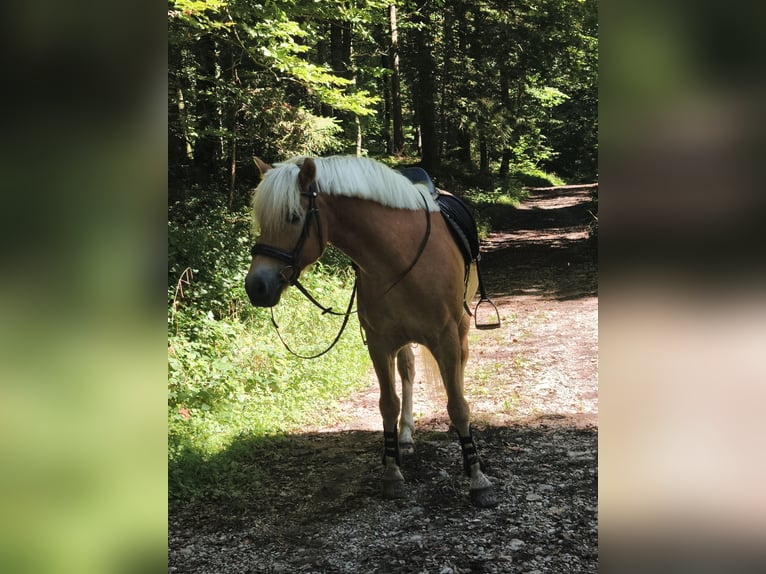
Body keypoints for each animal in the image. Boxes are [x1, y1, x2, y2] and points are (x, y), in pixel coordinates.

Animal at [244, 155, 497, 508]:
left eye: (293, 217)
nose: (256, 286)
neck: (397, 256)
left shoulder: (445, 338)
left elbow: (458, 406)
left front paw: (478, 479)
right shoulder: (379, 343)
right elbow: (387, 403)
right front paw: (392, 473)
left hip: (460, 327)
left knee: (460, 366)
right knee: (408, 370)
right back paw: (405, 436)